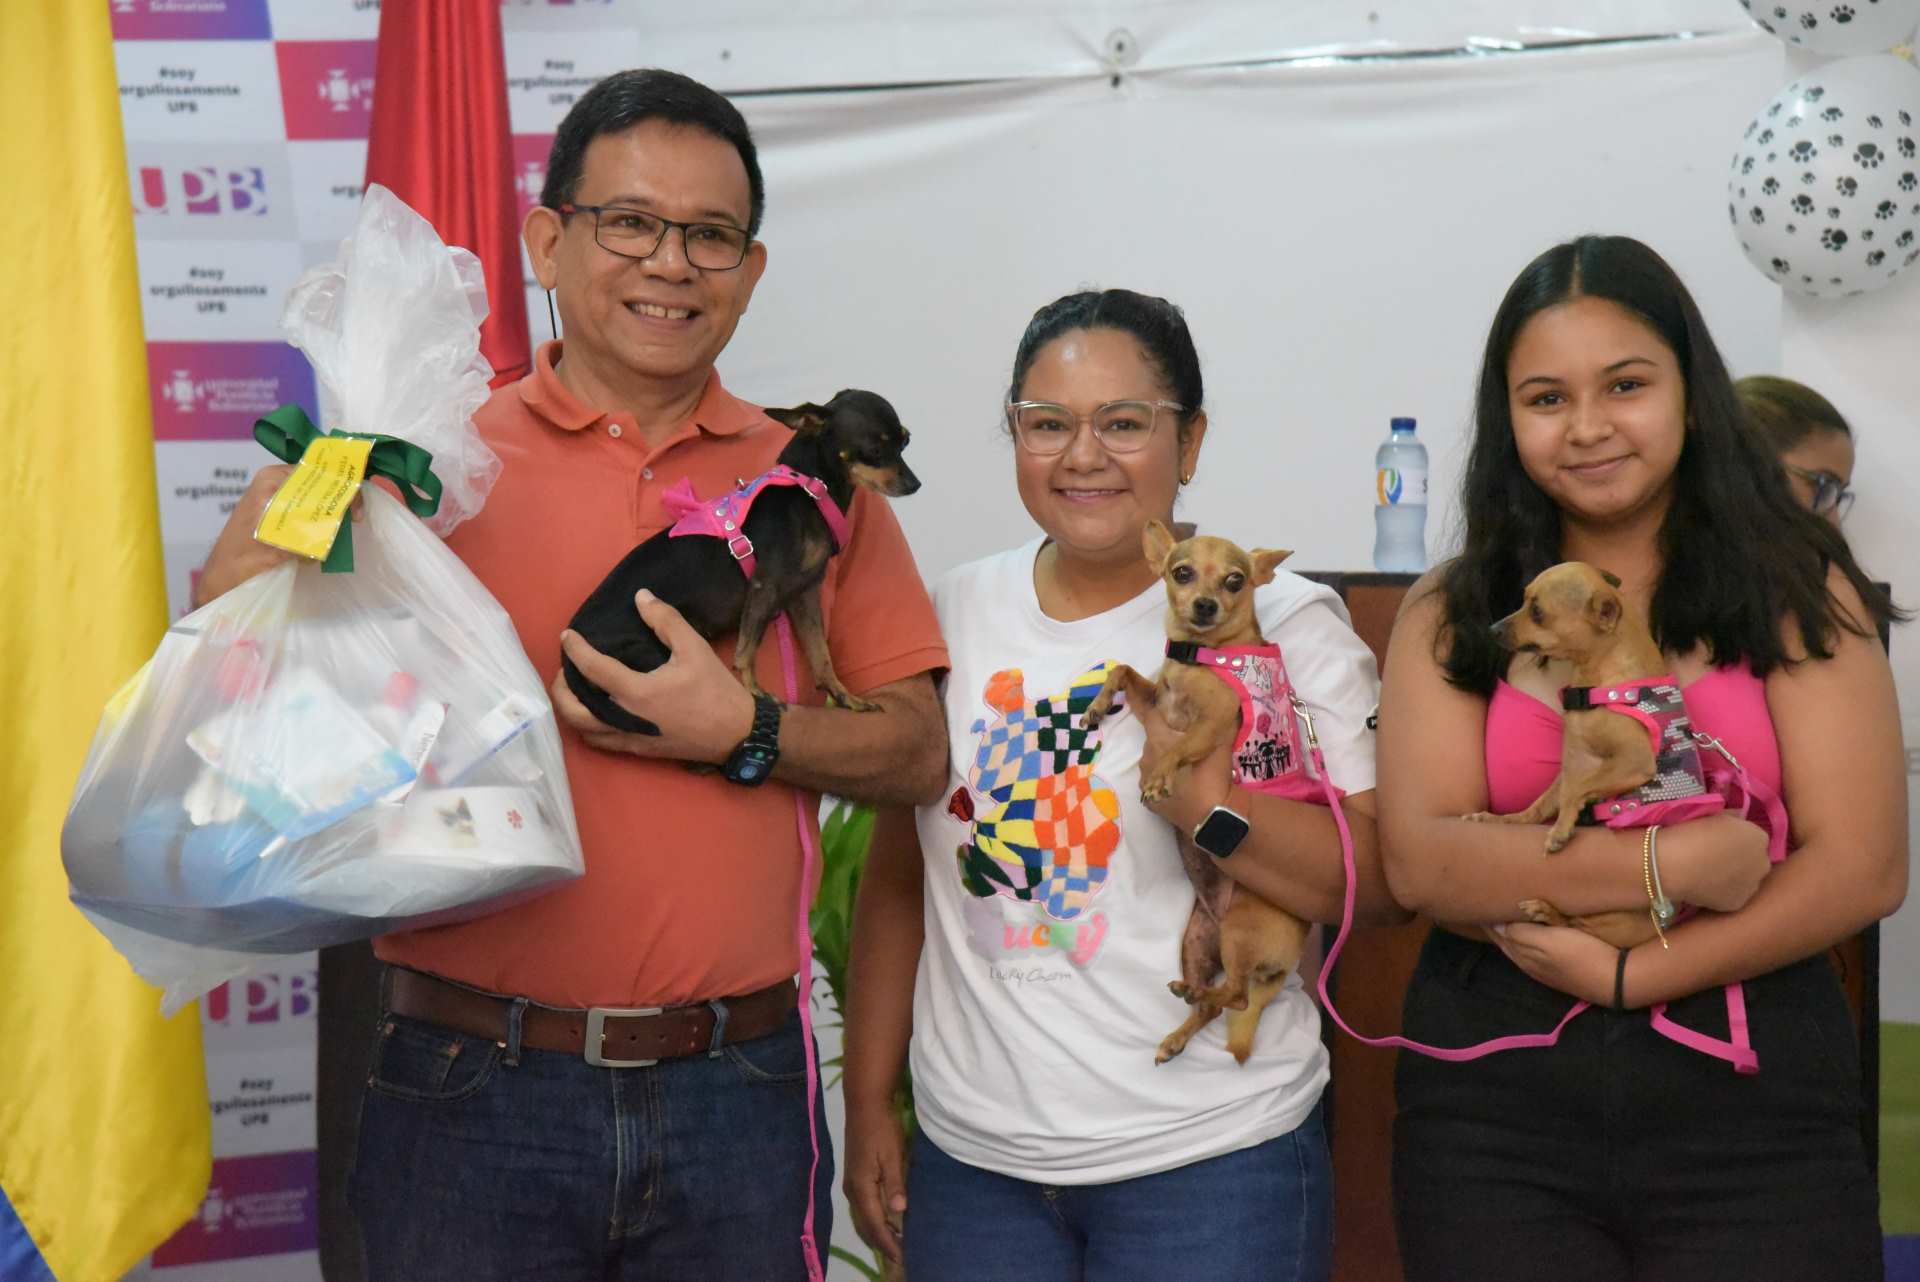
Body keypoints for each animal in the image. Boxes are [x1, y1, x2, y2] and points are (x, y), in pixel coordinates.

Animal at [560, 387, 917, 729]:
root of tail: (569, 651)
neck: (809, 490)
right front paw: (754, 691)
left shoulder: (804, 594)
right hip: (650, 653)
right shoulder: (764, 587)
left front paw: (847, 698)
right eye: (874, 450)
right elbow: (746, 650)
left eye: (906, 440)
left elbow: (821, 656)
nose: (915, 484)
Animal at [1090, 518, 1313, 1059]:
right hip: (1197, 940)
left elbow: (1179, 748)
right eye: (1182, 573)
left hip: (1240, 931)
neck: (1199, 658)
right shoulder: (1155, 700)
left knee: (1235, 996)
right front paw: (1098, 703)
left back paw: (1195, 995)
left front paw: (1157, 779)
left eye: (1235, 581)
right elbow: (1122, 670)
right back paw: (1178, 1030)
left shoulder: (1210, 727)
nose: (1207, 605)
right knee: (1217, 1002)